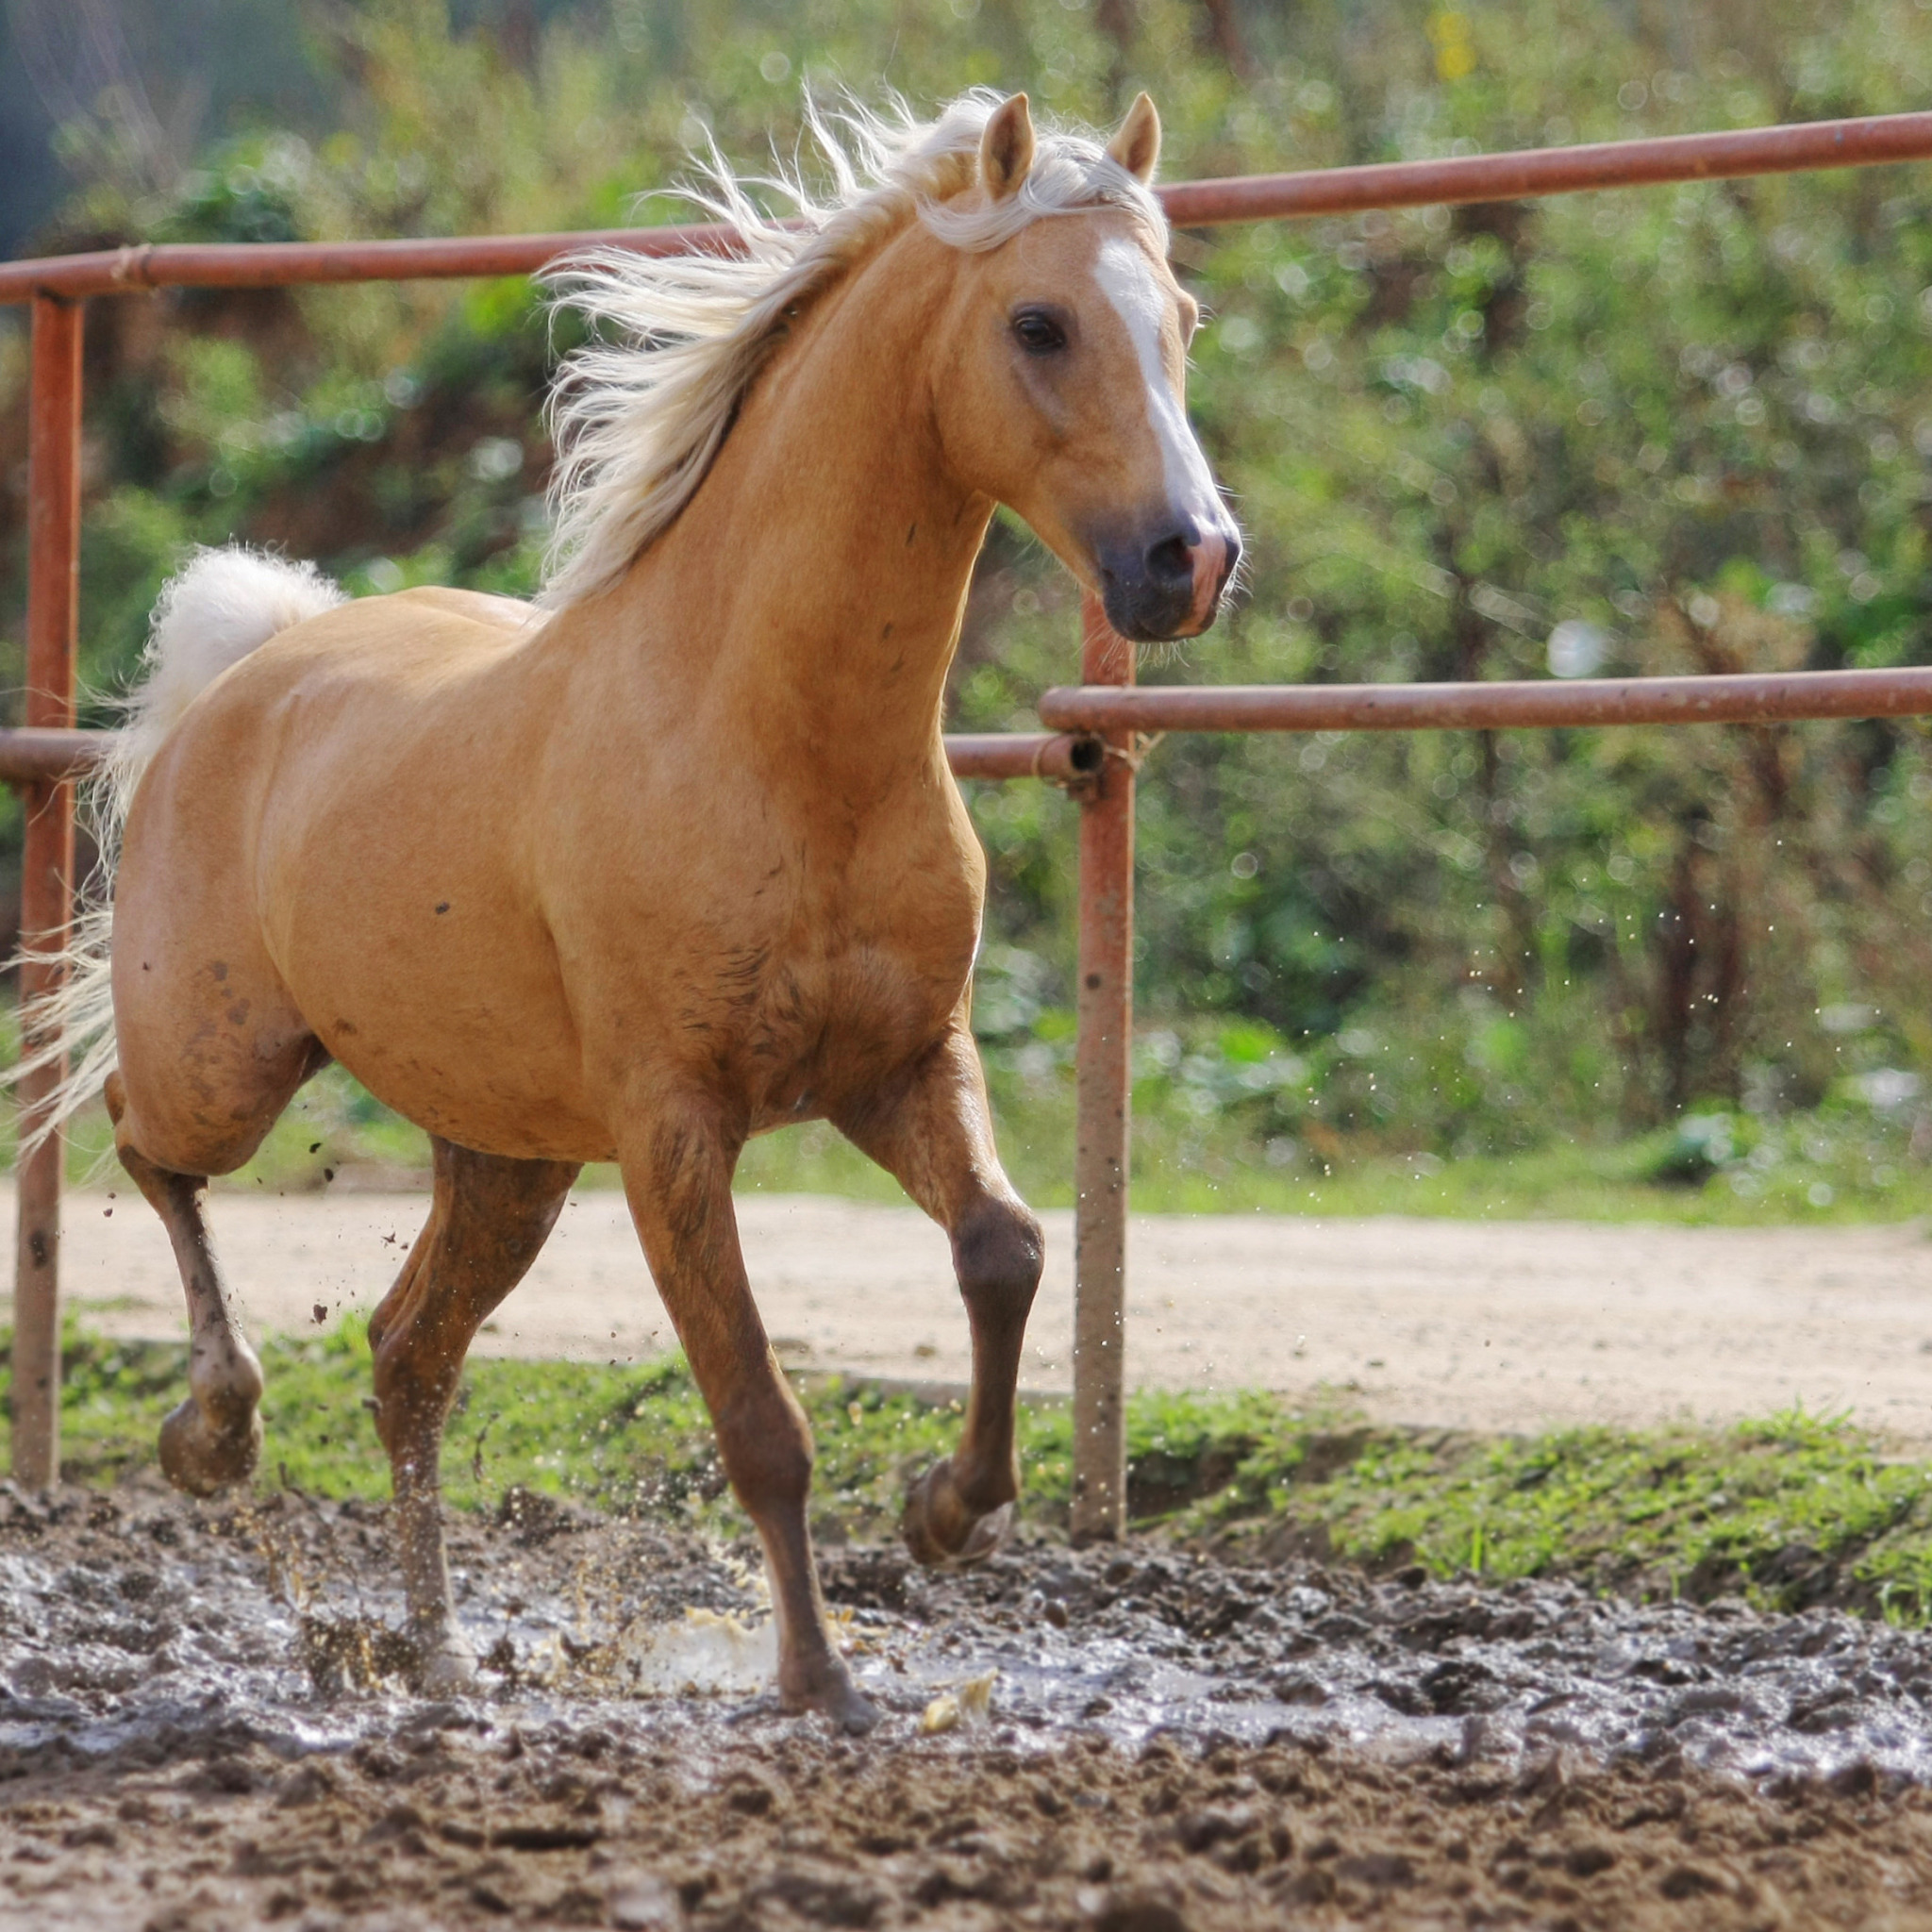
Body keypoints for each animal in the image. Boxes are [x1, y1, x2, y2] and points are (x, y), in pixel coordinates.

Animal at [34, 91, 1236, 1731]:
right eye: (1040, 323)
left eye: (1181, 319)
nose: (1193, 559)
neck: (779, 742)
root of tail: (250, 665)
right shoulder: (676, 1128)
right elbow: (761, 1416)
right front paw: (820, 1681)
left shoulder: (902, 1065)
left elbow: (1007, 1249)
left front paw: (946, 1513)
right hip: (227, 1063)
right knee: (149, 1148)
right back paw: (216, 1433)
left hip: (510, 1156)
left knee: (407, 1358)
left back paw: (436, 1656)